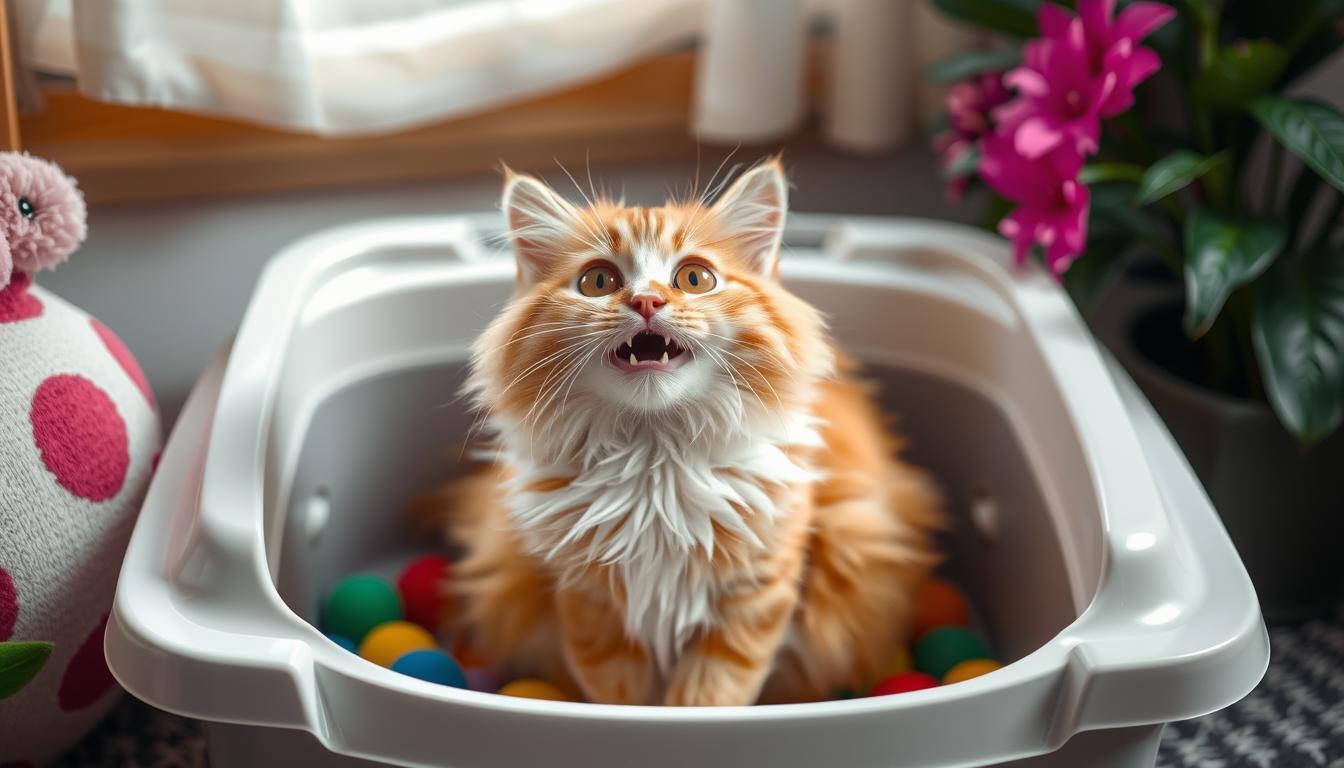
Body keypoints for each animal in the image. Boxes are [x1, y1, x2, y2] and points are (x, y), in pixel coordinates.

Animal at [424, 159, 940, 704]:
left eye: (695, 278)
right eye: (598, 281)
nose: (647, 300)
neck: (656, 464)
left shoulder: (755, 595)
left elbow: (711, 694)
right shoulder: (591, 608)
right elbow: (618, 696)